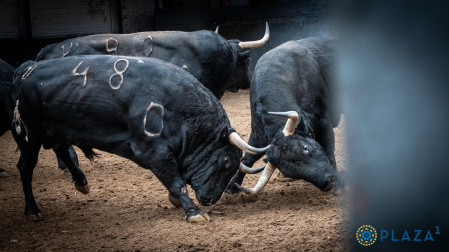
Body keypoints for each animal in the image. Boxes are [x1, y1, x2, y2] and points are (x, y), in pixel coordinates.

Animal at [7, 55, 266, 222]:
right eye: (226, 161)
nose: (210, 200)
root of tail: (25, 72)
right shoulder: (153, 151)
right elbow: (176, 182)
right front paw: (194, 212)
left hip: (56, 130)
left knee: (62, 150)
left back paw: (81, 182)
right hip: (29, 135)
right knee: (26, 167)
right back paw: (32, 209)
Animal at [226, 37, 342, 194]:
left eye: (305, 147)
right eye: (291, 172)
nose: (329, 182)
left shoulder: (324, 120)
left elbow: (329, 151)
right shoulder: (256, 135)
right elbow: (248, 159)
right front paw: (232, 185)